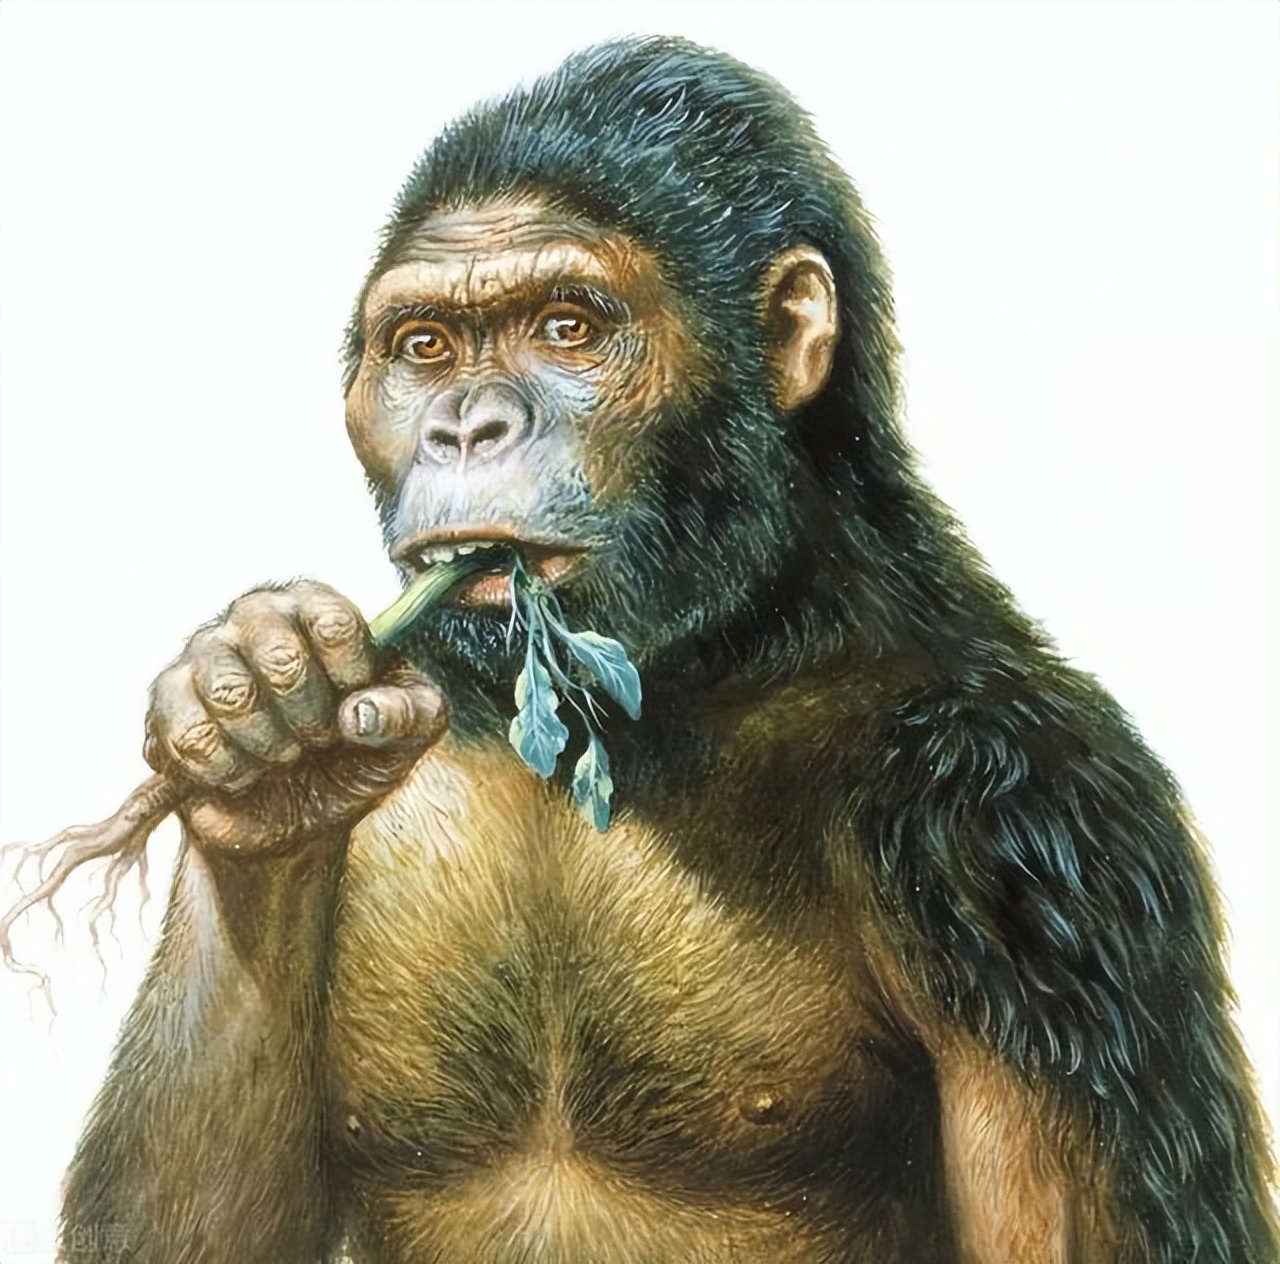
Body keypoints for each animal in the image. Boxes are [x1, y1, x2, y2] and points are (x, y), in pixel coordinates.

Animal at [28, 35, 1276, 1263]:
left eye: (566, 327)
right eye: (423, 346)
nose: (465, 425)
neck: (712, 653)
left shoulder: (1014, 831)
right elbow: (167, 1231)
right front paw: (262, 721)